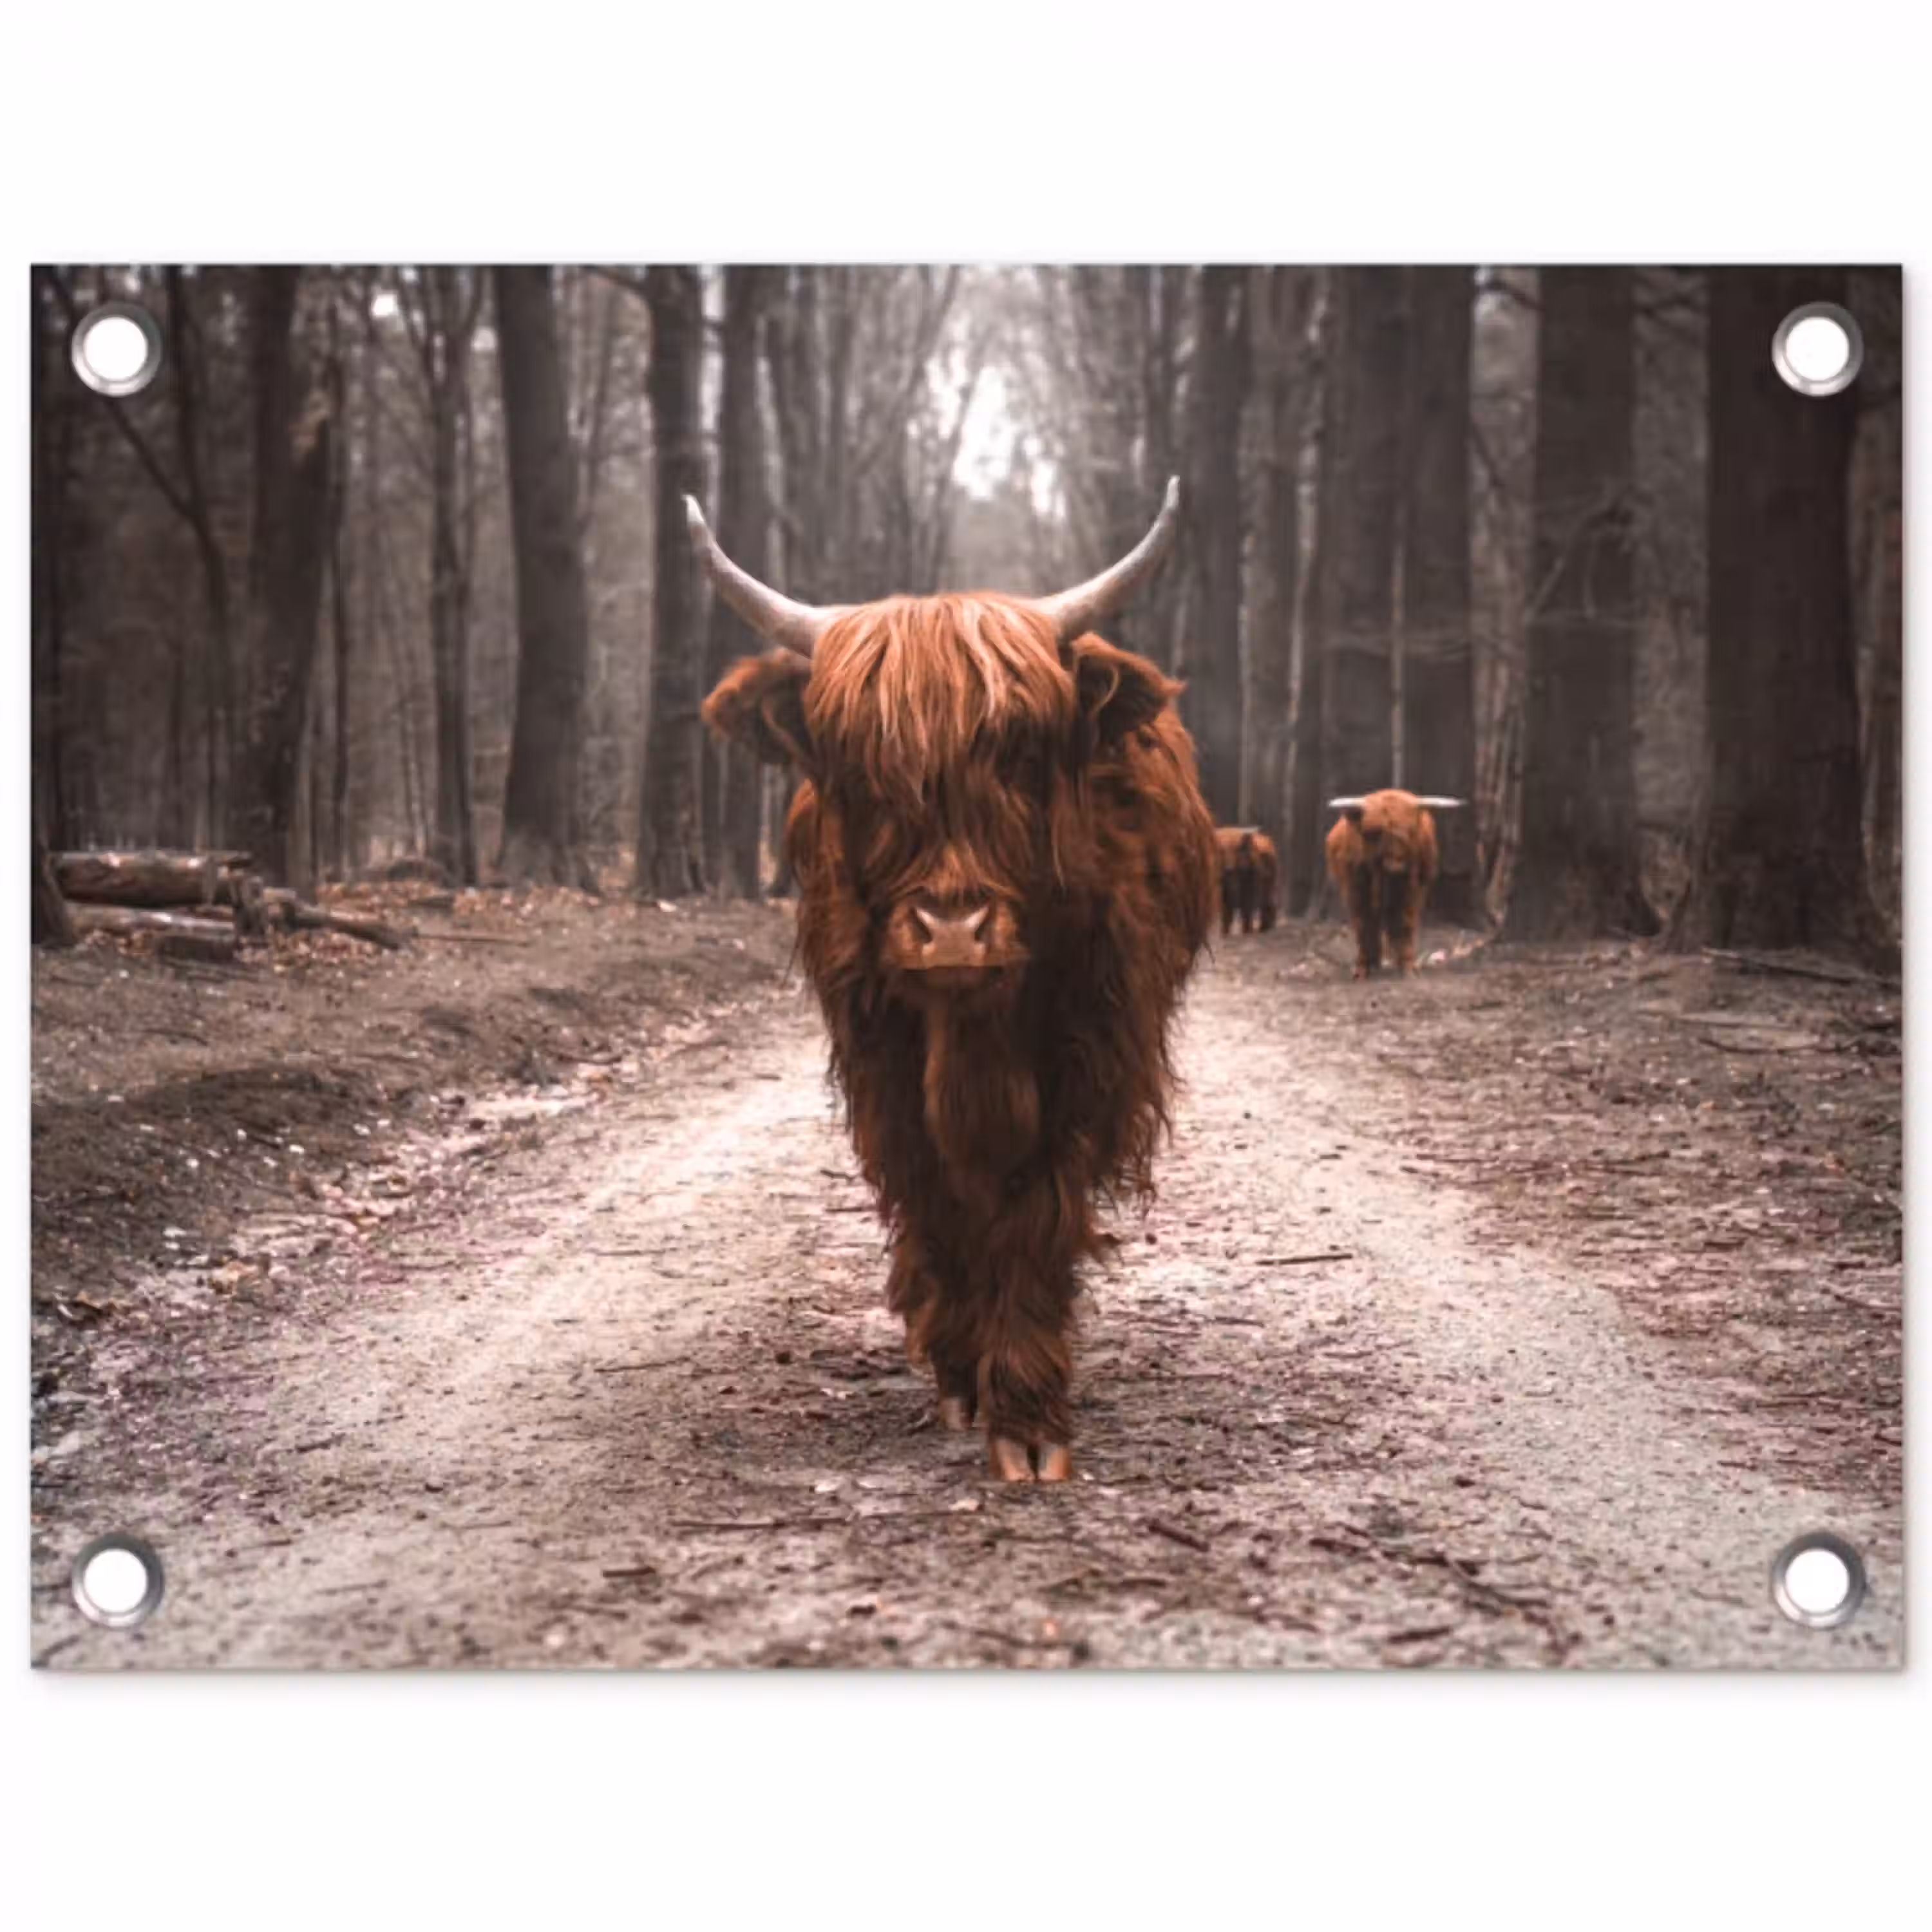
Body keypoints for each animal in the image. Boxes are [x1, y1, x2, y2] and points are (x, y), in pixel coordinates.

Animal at [692, 480, 1217, 1481]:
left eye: (1018, 753)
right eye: (862, 768)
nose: (951, 933)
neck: (973, 1036)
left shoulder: (1089, 1058)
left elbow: (1036, 1211)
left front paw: (1028, 1417)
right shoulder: (881, 1064)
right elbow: (936, 1199)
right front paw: (963, 1374)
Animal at [1214, 826, 1279, 936]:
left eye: (1238, 850)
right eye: (1221, 851)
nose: (1229, 869)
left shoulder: (1253, 874)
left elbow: (1247, 903)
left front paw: (1247, 932)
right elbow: (1225, 904)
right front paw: (1224, 934)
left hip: (1272, 873)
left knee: (1267, 899)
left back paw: (1264, 929)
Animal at [1324, 789, 1464, 978]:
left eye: (1409, 831)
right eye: (1375, 833)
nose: (1396, 866)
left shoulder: (1411, 890)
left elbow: (1404, 922)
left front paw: (1408, 967)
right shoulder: (1356, 890)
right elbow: (1363, 923)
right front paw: (1362, 968)